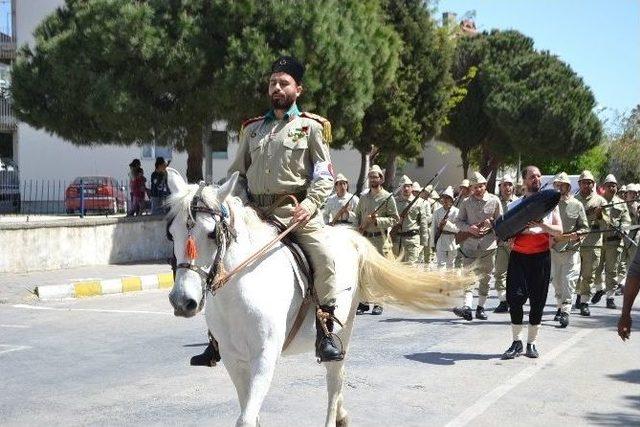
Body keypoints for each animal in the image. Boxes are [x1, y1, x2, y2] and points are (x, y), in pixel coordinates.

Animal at [168, 169, 468, 427]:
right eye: (172, 233)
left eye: (211, 233)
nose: (183, 301)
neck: (239, 290)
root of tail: (348, 236)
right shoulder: (233, 359)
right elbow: (249, 413)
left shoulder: (264, 356)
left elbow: (246, 418)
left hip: (343, 331)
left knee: (334, 381)